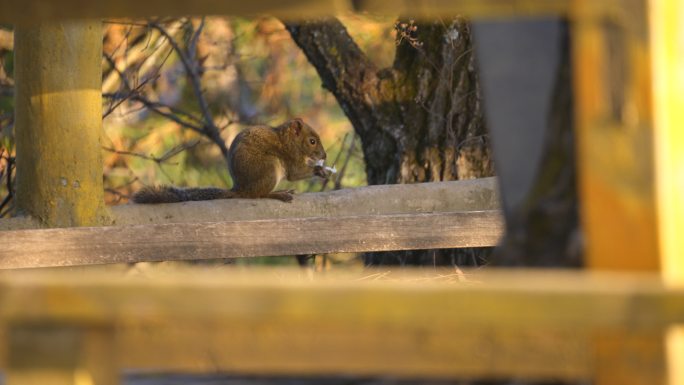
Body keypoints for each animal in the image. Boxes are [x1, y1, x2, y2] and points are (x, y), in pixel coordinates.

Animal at [133, 118, 328, 204]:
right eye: (312, 141)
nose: (324, 156)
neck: (288, 141)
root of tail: (240, 189)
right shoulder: (291, 158)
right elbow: (296, 174)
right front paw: (318, 170)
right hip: (270, 169)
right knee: (258, 195)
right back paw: (279, 193)